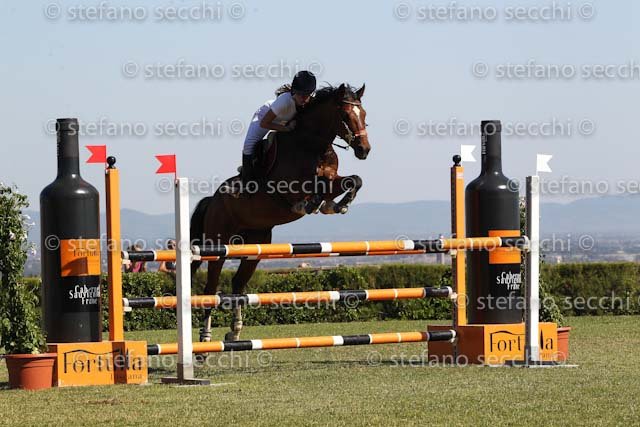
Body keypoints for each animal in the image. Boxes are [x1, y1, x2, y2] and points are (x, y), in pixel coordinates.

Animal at [190, 83, 370, 342]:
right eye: (346, 115)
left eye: (363, 114)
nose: (364, 150)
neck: (312, 145)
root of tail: (212, 200)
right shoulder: (290, 188)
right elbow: (317, 187)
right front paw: (315, 203)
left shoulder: (333, 178)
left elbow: (353, 180)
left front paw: (336, 204)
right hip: (217, 245)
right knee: (211, 288)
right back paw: (205, 337)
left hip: (256, 245)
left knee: (238, 283)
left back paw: (235, 331)